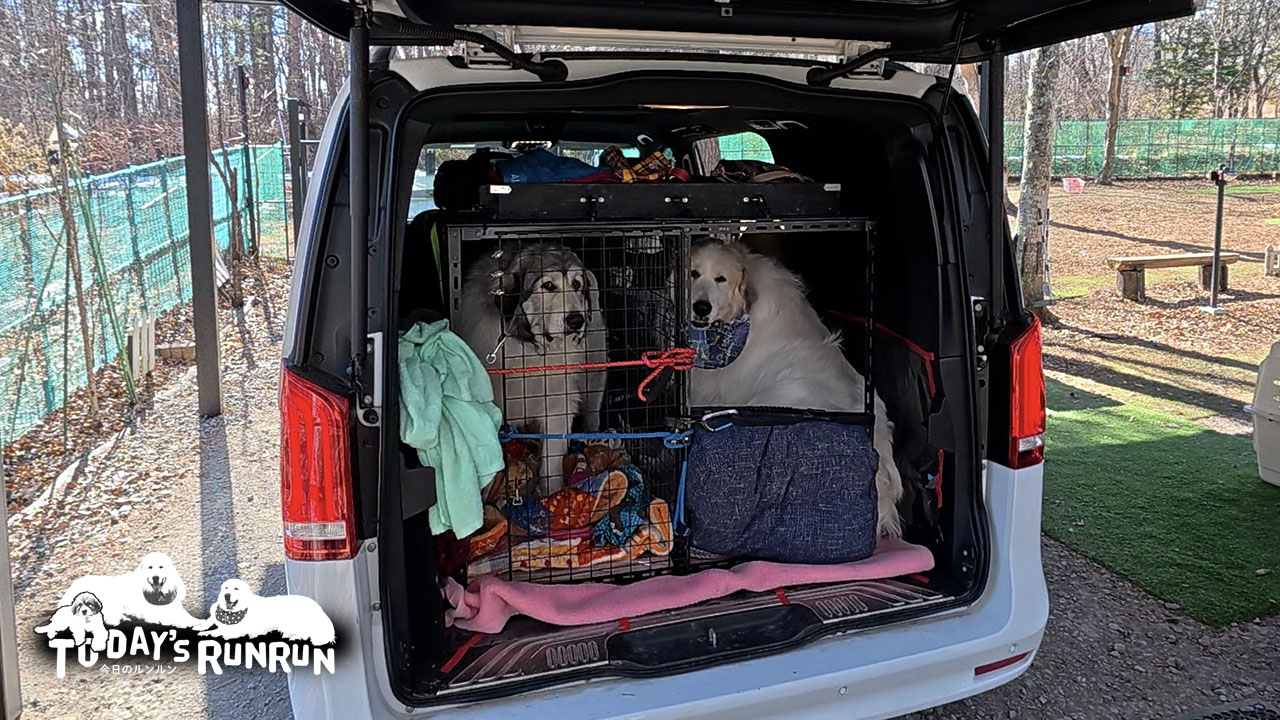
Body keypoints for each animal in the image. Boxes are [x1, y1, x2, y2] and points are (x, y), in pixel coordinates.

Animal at [194, 579, 335, 645]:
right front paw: (200, 626)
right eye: (226, 588)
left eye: (236, 588)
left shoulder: (235, 631)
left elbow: (217, 631)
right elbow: (210, 621)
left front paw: (205, 634)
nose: (226, 595)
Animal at [455, 243, 608, 494]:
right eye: (548, 286)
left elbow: (552, 461)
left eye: (576, 284)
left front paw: (552, 496)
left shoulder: (557, 405)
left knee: (592, 411)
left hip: (594, 377)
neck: (528, 348)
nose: (577, 321)